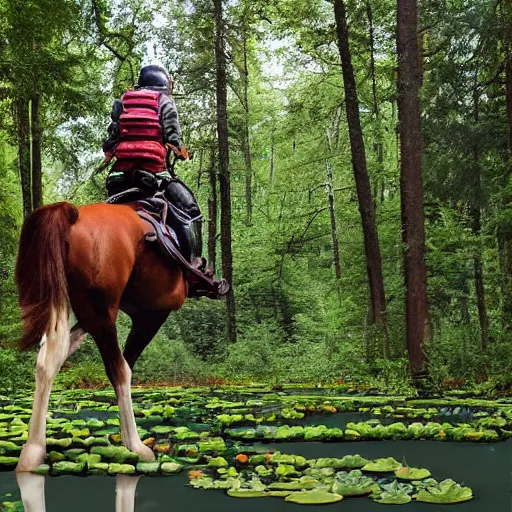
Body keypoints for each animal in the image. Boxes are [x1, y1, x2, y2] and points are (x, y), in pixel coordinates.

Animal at [15, 201, 189, 472]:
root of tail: (73, 214)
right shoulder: (151, 312)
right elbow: (124, 366)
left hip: (86, 307)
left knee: (48, 359)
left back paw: (33, 450)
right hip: (103, 309)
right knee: (118, 369)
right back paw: (137, 445)